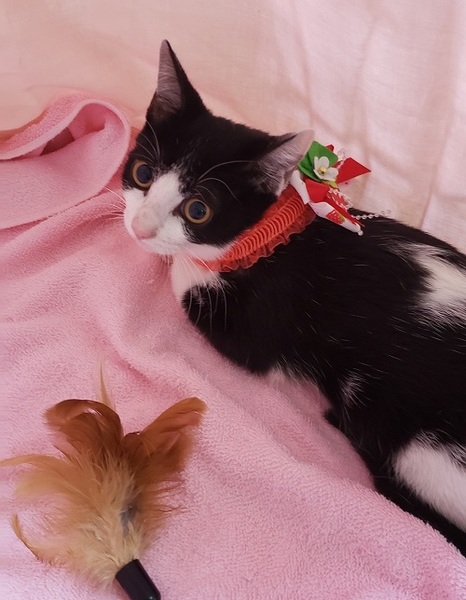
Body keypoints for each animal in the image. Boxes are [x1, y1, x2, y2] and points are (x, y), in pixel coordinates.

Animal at [122, 40, 466, 557]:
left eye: (198, 210)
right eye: (142, 173)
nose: (139, 228)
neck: (270, 232)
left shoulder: (263, 328)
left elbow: (188, 277)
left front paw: (180, 260)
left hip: (422, 448)